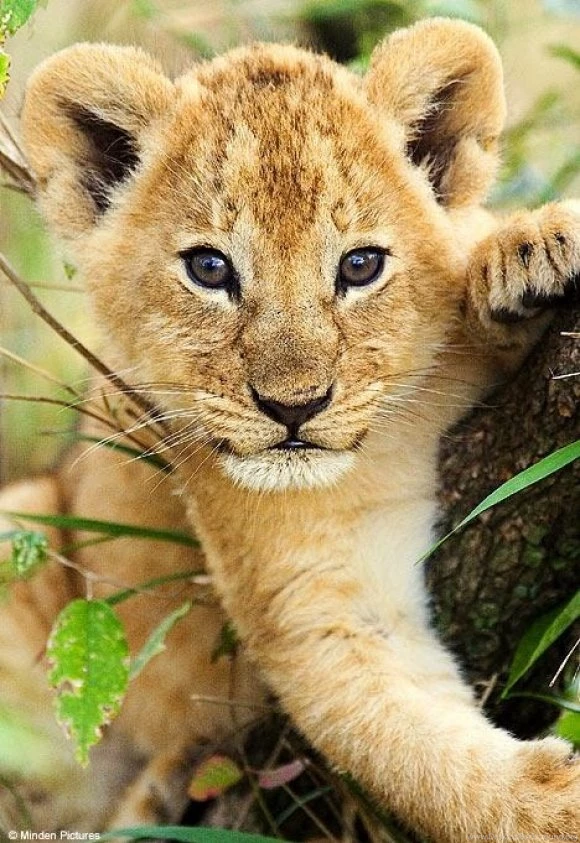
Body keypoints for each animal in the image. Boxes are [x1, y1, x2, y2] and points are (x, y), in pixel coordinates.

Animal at [0, 16, 578, 840]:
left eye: (361, 265)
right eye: (209, 268)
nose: (294, 407)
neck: (388, 445)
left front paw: (528, 256)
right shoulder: (312, 601)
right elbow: (428, 760)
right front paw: (559, 806)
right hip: (30, 523)